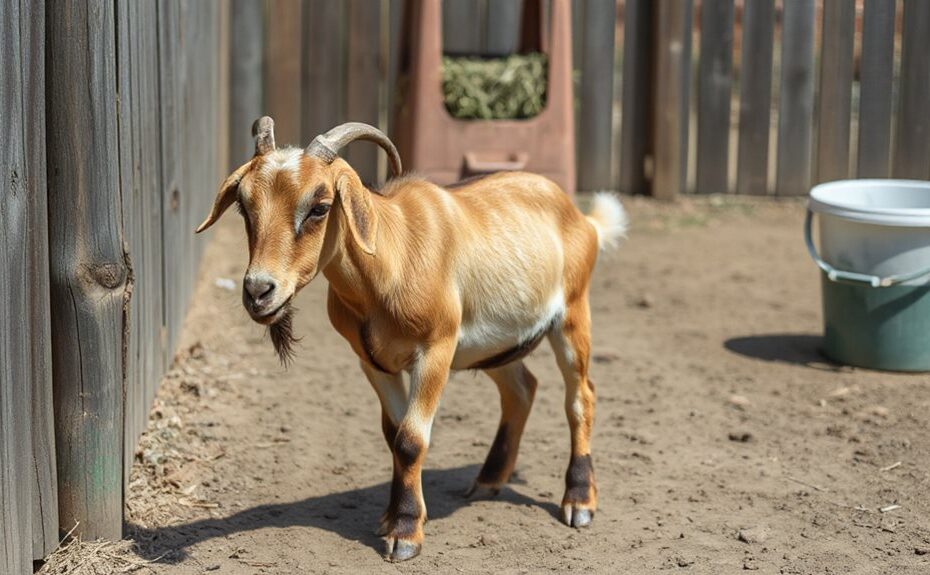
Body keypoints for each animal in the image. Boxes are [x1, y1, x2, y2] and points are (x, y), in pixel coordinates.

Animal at [197, 117, 627, 561]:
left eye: (319, 206)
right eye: (244, 205)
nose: (259, 291)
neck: (392, 256)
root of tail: (584, 219)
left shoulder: (436, 349)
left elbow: (410, 439)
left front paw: (404, 535)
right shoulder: (372, 361)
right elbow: (393, 433)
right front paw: (392, 518)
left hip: (572, 315)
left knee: (581, 397)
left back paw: (578, 503)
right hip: (496, 347)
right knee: (522, 389)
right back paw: (487, 481)